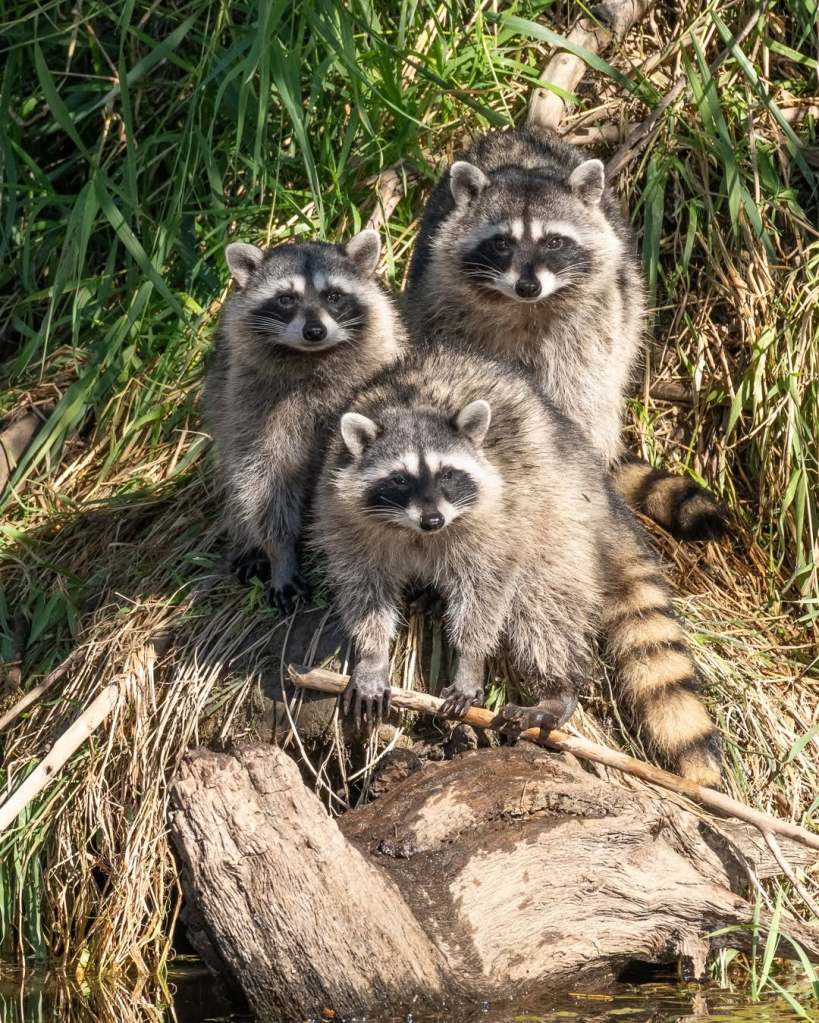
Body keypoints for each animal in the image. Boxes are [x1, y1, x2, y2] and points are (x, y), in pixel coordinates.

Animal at [204, 229, 404, 611]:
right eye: (285, 299)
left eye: (334, 296)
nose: (314, 331)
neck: (312, 357)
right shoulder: (252, 403)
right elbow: (261, 478)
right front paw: (280, 553)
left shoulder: (376, 365)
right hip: (221, 400)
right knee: (231, 470)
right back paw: (246, 540)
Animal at [312, 346, 722, 787]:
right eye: (400, 479)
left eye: (448, 474)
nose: (433, 520)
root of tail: (599, 486)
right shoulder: (344, 511)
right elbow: (362, 586)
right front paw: (372, 654)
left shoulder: (496, 517)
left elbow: (488, 589)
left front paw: (470, 659)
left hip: (558, 519)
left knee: (542, 608)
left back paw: (558, 690)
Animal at [405, 127, 726, 540]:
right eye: (501, 243)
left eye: (554, 242)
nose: (528, 286)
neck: (524, 308)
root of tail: (520, 130)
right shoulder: (443, 307)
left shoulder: (589, 324)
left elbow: (575, 395)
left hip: (623, 312)